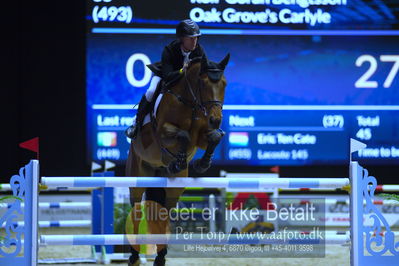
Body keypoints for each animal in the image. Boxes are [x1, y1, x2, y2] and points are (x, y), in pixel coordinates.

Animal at [126, 53, 230, 264]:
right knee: (137, 211)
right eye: (204, 84)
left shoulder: (202, 135)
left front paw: (201, 163)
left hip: (172, 187)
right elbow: (183, 135)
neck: (191, 103)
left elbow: (214, 137)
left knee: (164, 214)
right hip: (137, 174)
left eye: (224, 84)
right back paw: (134, 256)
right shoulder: (162, 132)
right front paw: (180, 159)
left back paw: (160, 257)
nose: (216, 120)